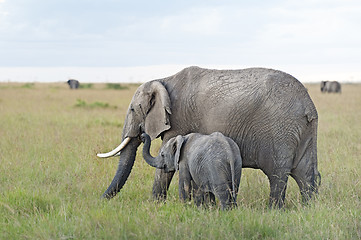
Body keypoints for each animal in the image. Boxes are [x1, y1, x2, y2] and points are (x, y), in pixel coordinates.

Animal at [97, 66, 320, 208]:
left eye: (133, 109)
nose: (143, 135)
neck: (164, 79)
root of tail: (308, 105)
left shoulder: (178, 120)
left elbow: (165, 167)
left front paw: (155, 205)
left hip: (281, 129)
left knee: (278, 174)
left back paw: (274, 211)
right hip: (303, 129)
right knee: (306, 173)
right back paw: (309, 209)